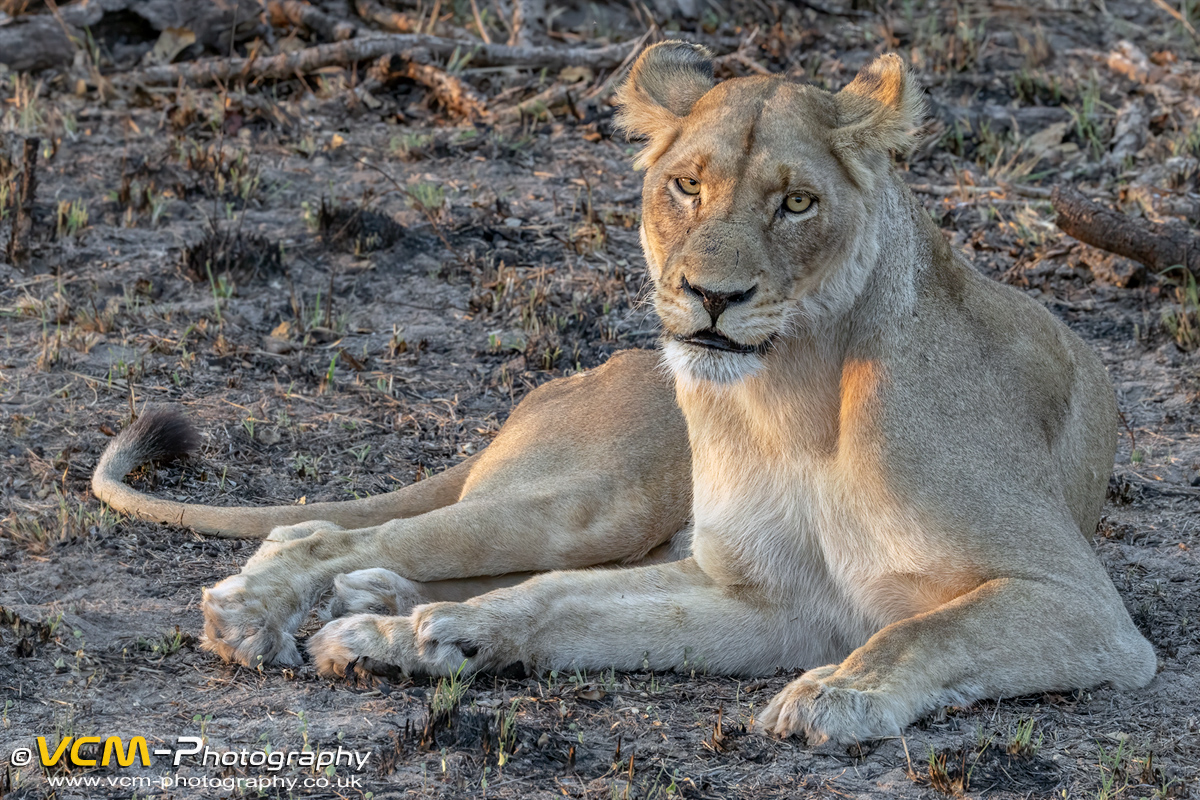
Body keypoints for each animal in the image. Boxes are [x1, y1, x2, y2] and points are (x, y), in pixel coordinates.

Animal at [91, 43, 1156, 745]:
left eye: (796, 202)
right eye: (685, 185)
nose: (713, 297)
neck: (792, 401)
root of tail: (572, 377)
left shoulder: (1074, 603)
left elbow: (926, 627)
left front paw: (834, 696)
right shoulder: (763, 594)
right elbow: (569, 602)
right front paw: (450, 637)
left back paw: (374, 620)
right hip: (590, 499)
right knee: (324, 530)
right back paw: (284, 615)